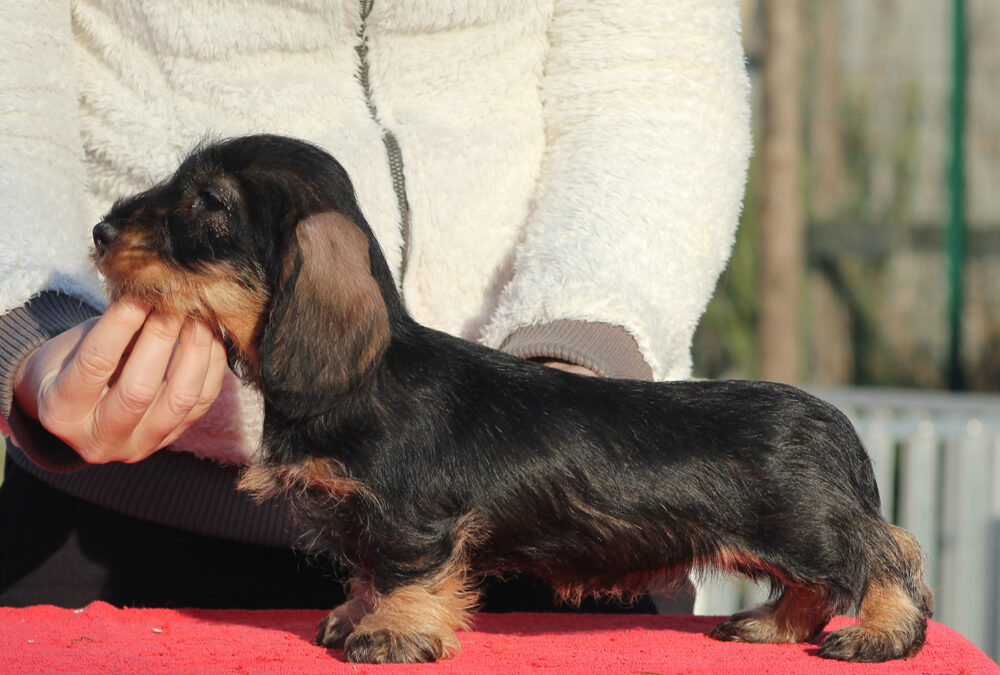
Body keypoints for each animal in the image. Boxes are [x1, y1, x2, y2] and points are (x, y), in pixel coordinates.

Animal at [90, 135, 932, 664]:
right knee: (821, 582)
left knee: (886, 554)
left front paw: (392, 636)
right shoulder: (361, 517)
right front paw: (356, 617)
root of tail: (831, 419)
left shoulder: (412, 519)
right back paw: (773, 624)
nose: (99, 230)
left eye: (209, 203)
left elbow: (402, 574)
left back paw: (878, 636)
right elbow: (365, 574)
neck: (365, 376)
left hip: (805, 524)